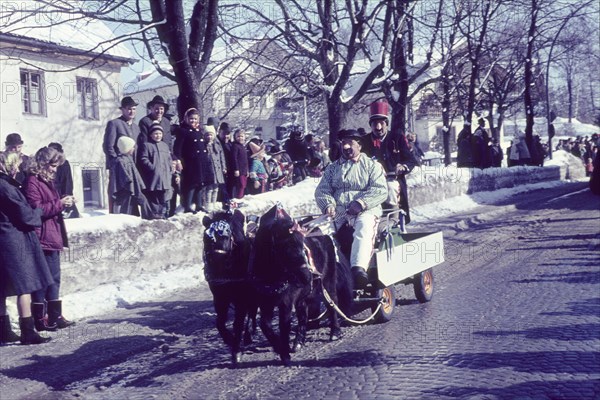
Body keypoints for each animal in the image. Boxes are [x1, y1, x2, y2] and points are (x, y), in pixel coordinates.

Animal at [203, 209, 254, 366]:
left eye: (225, 236)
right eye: (206, 238)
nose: (213, 264)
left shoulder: (242, 298)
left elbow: (238, 323)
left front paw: (236, 350)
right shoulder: (220, 298)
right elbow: (219, 323)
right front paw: (229, 340)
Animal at [251, 205, 354, 364]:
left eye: (301, 245)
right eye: (285, 247)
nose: (307, 276)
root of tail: (325, 235)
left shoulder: (286, 303)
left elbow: (284, 325)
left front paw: (285, 354)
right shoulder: (265, 303)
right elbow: (266, 326)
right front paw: (280, 348)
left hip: (328, 283)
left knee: (332, 303)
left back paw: (335, 332)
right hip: (304, 295)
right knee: (303, 314)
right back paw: (299, 341)